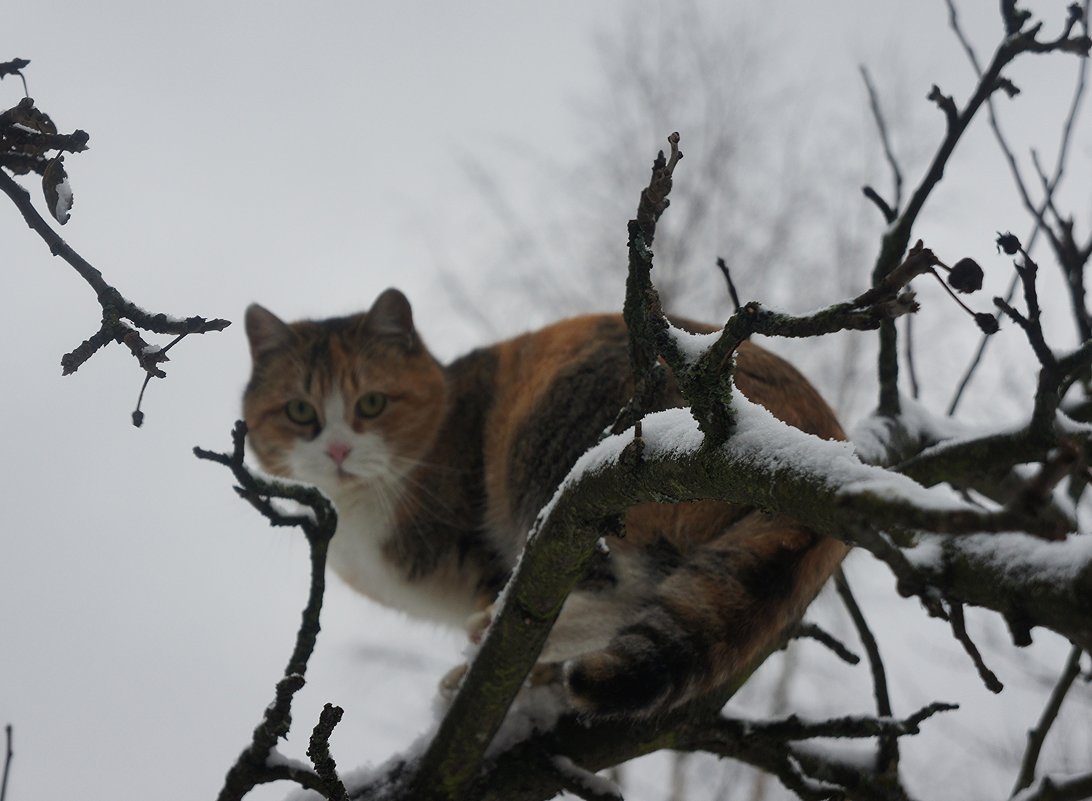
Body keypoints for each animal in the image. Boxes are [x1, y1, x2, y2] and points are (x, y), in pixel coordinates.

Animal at [243, 288, 847, 715]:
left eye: (371, 403)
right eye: (299, 411)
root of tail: (819, 442)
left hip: (567, 456)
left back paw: (487, 637)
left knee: (617, 585)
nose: (338, 449)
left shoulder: (485, 549)